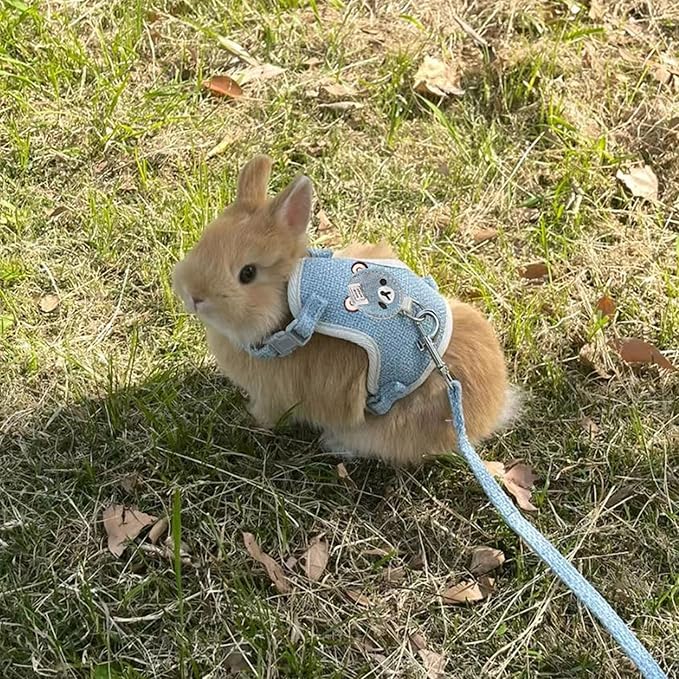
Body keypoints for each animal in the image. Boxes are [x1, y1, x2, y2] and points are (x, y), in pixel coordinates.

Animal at [172, 155, 518, 466]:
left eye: (247, 274)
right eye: (204, 241)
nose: (193, 295)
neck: (288, 311)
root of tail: (491, 409)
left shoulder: (273, 395)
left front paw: (250, 418)